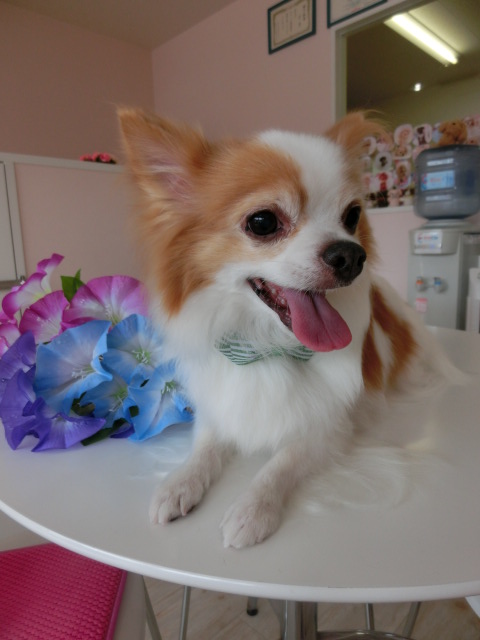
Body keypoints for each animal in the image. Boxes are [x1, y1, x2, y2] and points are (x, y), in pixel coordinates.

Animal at [118, 109, 455, 548]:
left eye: (352, 216)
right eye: (262, 222)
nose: (352, 254)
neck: (266, 345)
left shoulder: (329, 429)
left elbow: (281, 464)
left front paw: (251, 509)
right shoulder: (219, 406)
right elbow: (205, 447)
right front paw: (180, 483)